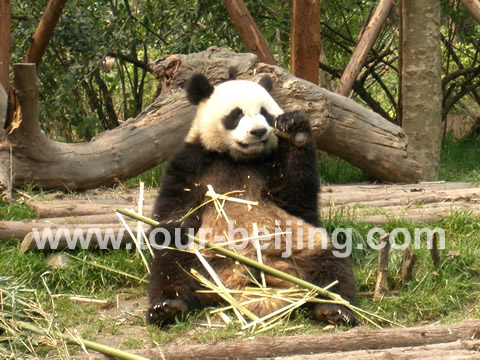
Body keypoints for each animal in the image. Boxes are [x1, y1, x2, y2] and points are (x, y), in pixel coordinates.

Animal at [146, 73, 356, 326]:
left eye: (265, 113)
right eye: (236, 115)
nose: (258, 131)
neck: (238, 158)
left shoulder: (272, 165)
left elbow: (296, 198)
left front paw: (295, 128)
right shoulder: (191, 163)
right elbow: (174, 215)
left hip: (304, 247)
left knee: (333, 267)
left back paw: (334, 309)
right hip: (202, 259)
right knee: (172, 267)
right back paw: (167, 308)